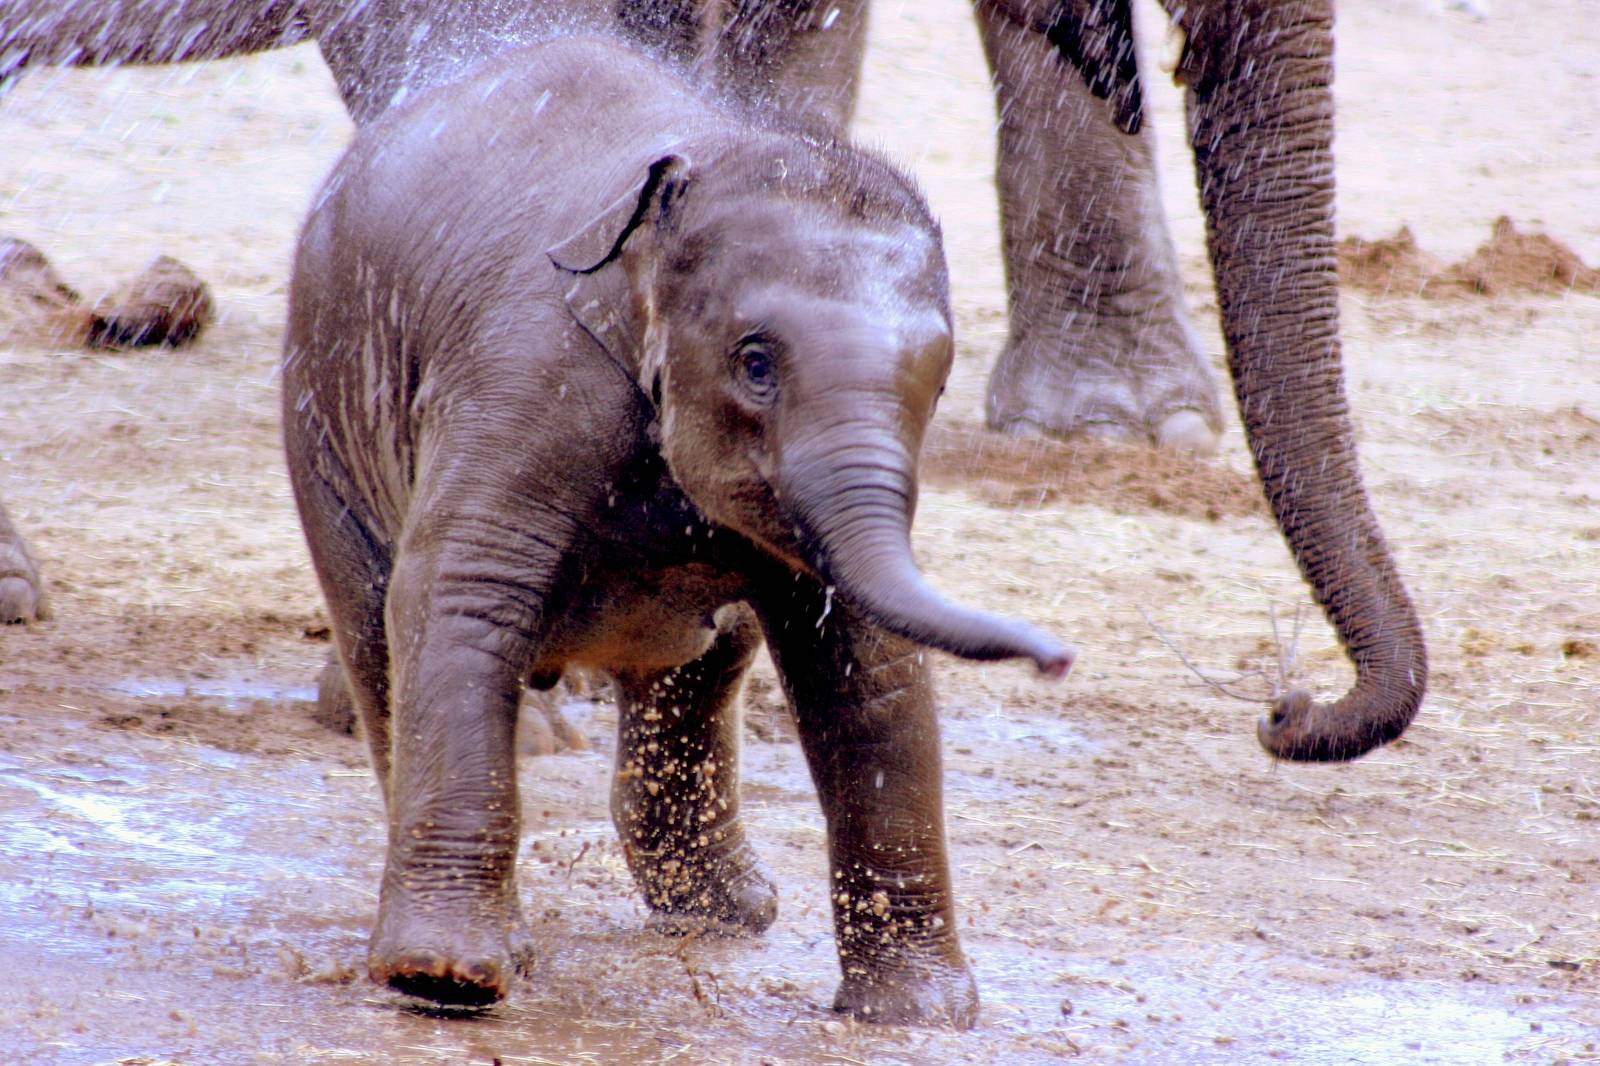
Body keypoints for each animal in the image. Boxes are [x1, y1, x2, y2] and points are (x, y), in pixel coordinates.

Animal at [281, 31, 1073, 1023]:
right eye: (756, 363)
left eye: (937, 382)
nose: (1058, 659)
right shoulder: (529, 373)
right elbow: (463, 591)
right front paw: (447, 982)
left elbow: (865, 660)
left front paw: (919, 1017)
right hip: (322, 416)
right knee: (377, 628)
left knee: (704, 664)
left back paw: (727, 915)